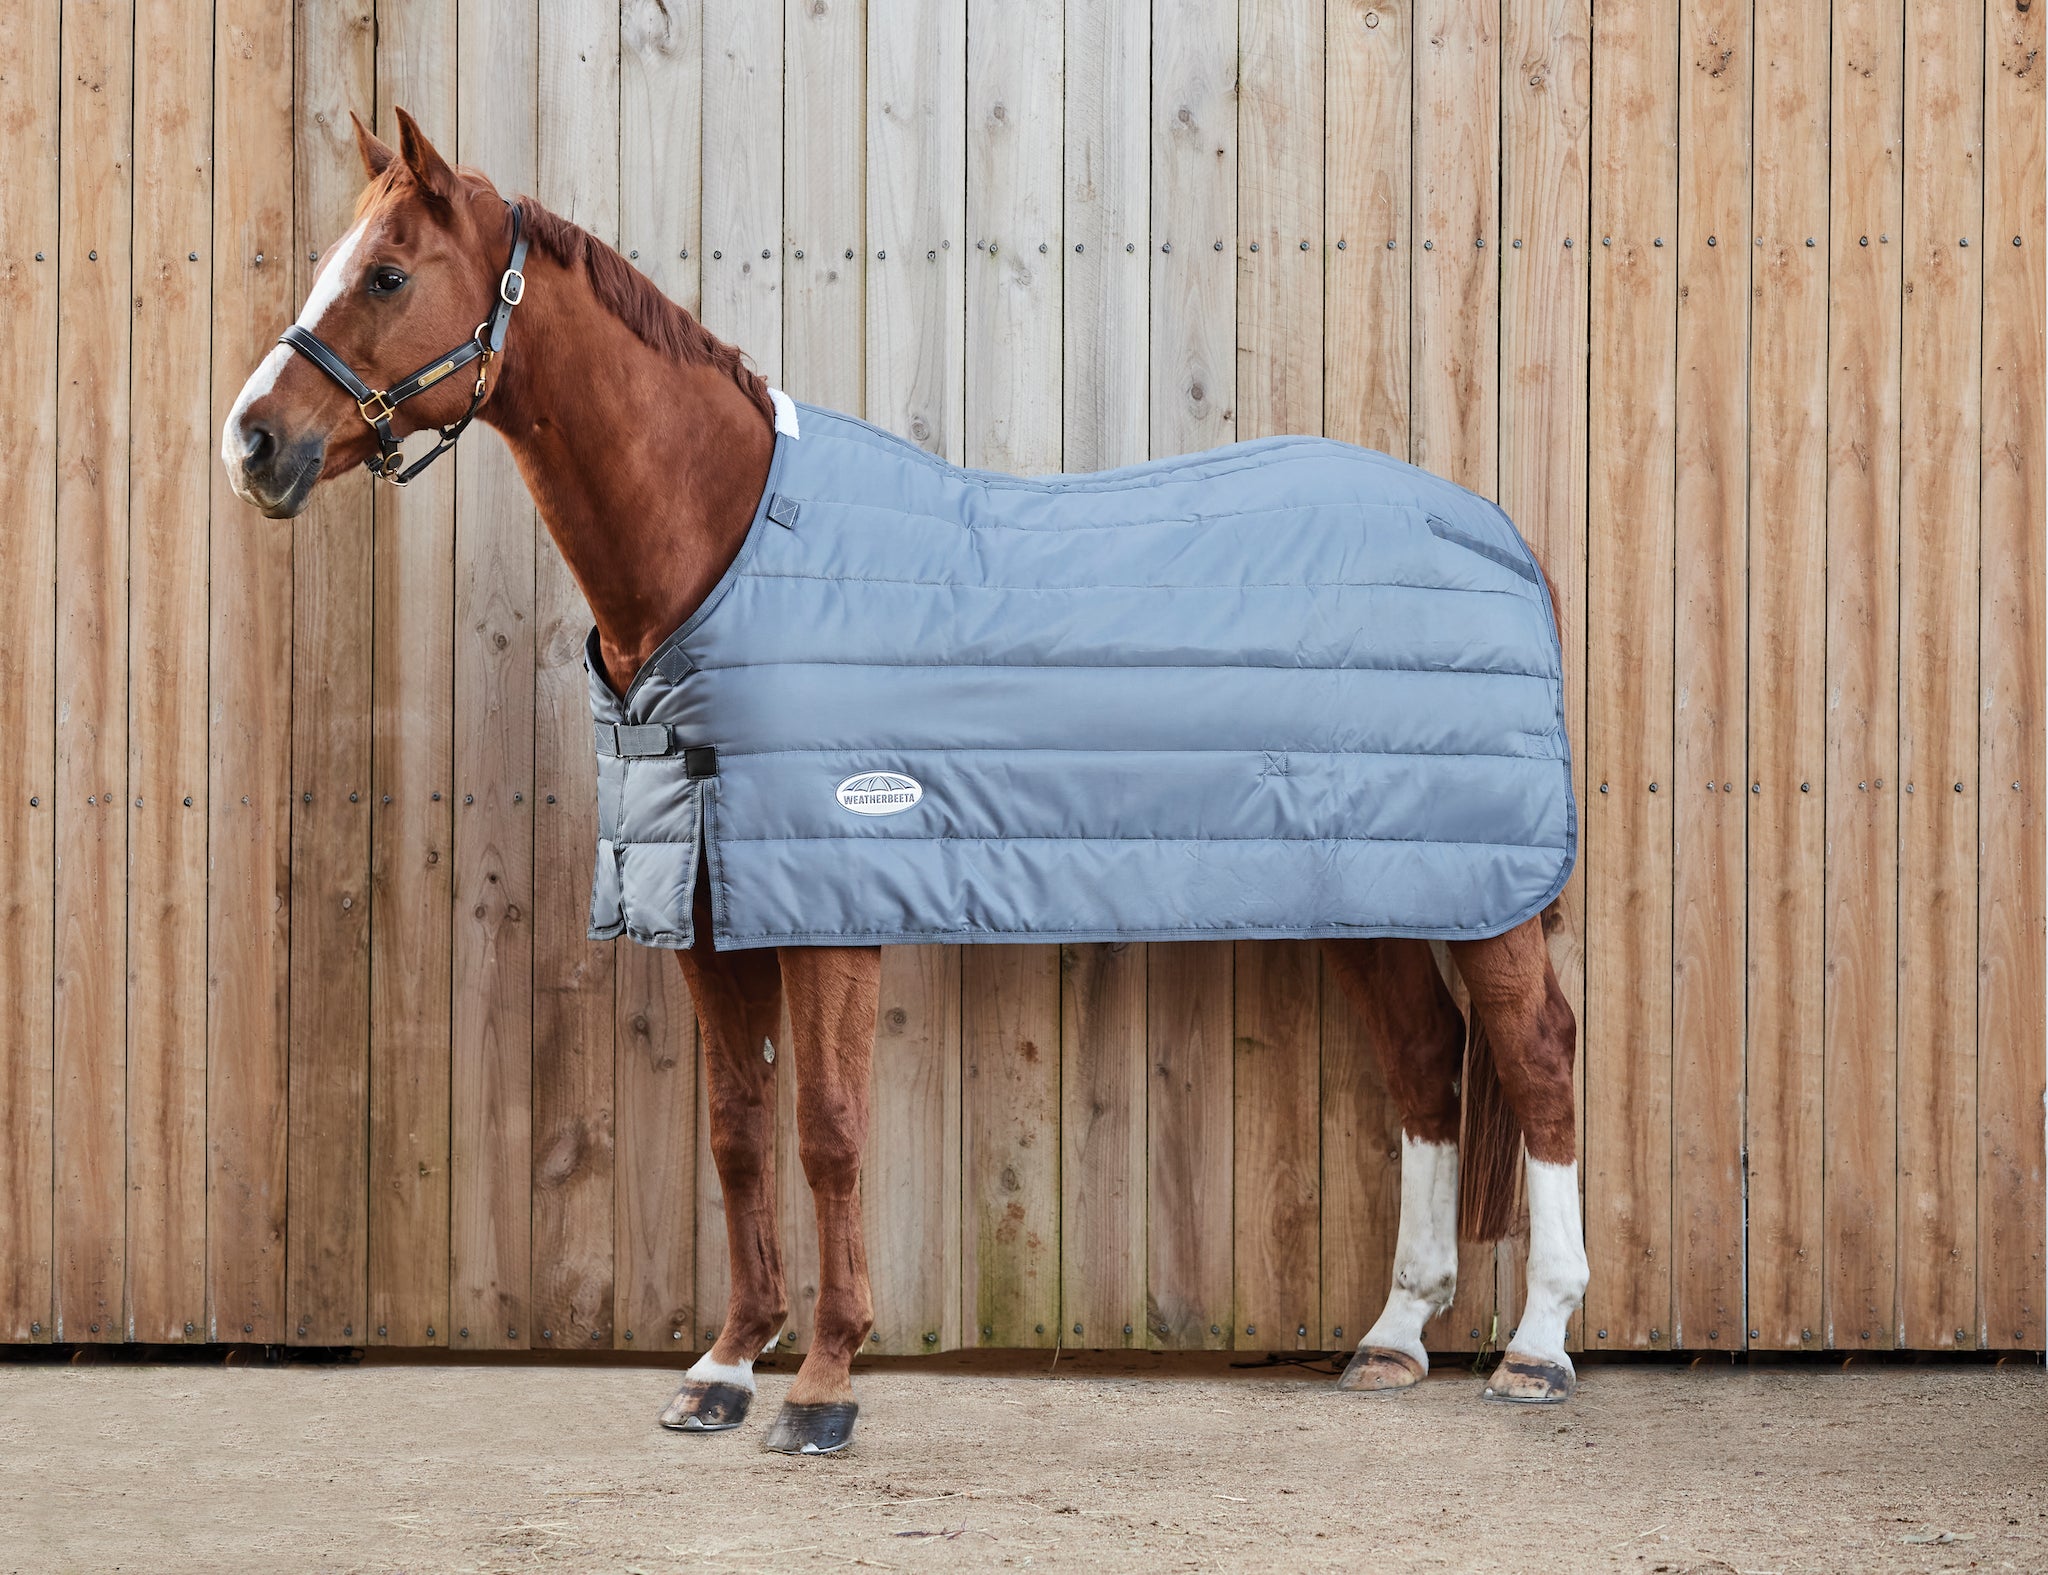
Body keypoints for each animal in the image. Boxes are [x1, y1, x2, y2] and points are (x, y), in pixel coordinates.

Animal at [221, 108, 1588, 1456]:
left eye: (387, 275)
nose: (253, 443)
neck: (724, 551)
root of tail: (1491, 530)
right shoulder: (707, 910)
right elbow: (737, 1132)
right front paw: (725, 1368)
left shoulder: (829, 905)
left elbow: (827, 1133)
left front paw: (824, 1384)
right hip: (1384, 889)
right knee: (1424, 1063)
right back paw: (1392, 1339)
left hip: (1485, 895)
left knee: (1534, 1054)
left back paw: (1535, 1349)